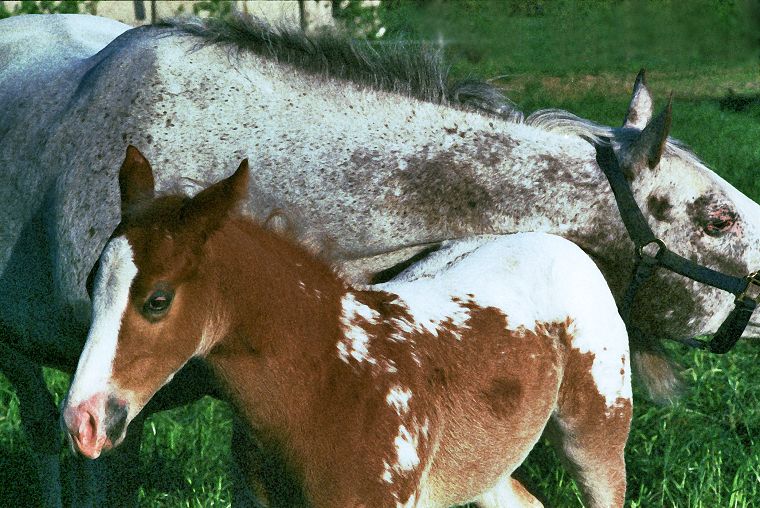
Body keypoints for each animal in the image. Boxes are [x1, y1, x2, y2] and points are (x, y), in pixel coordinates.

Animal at [62, 148, 633, 508]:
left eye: (157, 300)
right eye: (91, 284)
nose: (82, 421)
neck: (325, 386)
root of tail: (562, 244)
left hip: (595, 437)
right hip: (483, 464)